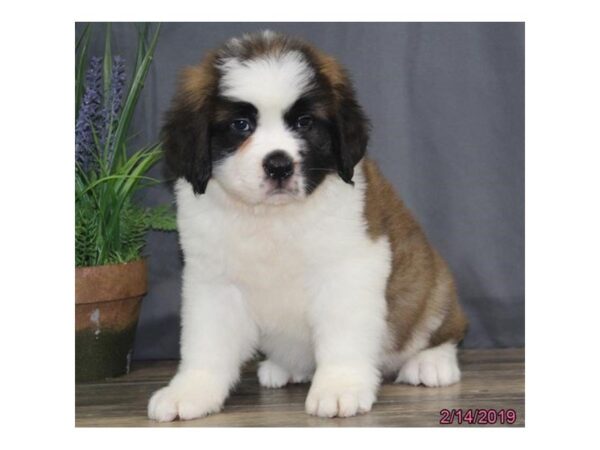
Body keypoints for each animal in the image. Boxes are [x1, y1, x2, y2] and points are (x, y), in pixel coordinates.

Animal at [148, 29, 466, 420]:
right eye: (241, 125)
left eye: (304, 123)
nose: (279, 165)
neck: (272, 217)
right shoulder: (212, 281)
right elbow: (206, 343)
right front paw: (191, 390)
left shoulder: (349, 270)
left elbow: (342, 335)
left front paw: (340, 386)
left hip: (431, 287)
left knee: (440, 328)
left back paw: (431, 363)